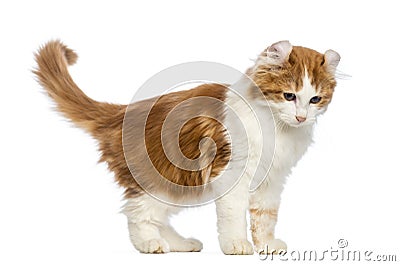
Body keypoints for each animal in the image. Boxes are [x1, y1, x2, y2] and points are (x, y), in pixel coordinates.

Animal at [35, 39, 340, 254]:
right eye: (289, 96)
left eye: (315, 99)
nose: (301, 117)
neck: (278, 128)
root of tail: (121, 112)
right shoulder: (231, 172)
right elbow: (233, 215)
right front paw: (236, 244)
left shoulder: (273, 179)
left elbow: (265, 216)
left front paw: (266, 245)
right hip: (161, 178)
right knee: (139, 214)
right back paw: (150, 244)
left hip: (179, 185)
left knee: (158, 217)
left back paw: (180, 244)